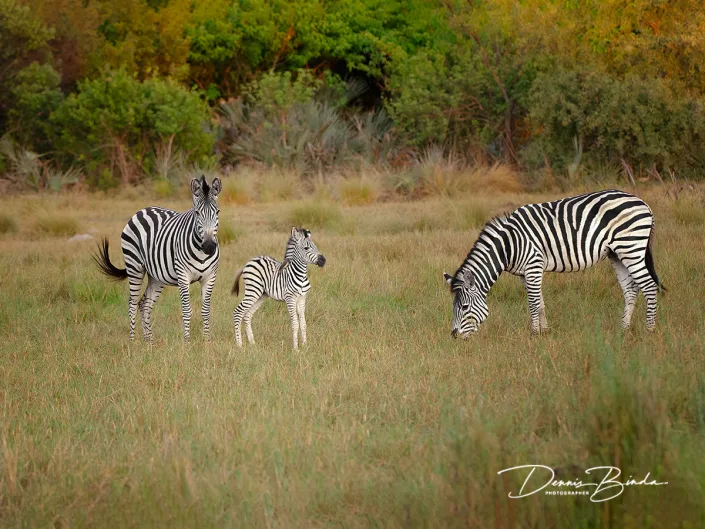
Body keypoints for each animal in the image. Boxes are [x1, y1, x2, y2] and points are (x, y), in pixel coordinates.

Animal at [94, 175, 221, 342]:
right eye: (197, 213)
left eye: (217, 212)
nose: (209, 247)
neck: (201, 252)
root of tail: (142, 210)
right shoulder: (183, 277)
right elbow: (187, 310)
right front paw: (187, 342)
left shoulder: (210, 277)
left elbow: (205, 311)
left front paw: (207, 342)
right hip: (134, 266)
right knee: (132, 303)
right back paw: (132, 341)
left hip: (156, 276)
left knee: (144, 304)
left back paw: (149, 342)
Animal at [443, 189, 665, 337]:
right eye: (453, 306)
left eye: (464, 307)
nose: (454, 336)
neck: (509, 245)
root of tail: (643, 203)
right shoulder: (526, 273)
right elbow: (540, 302)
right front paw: (545, 331)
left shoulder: (533, 265)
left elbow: (533, 303)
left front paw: (533, 334)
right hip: (617, 254)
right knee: (631, 290)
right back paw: (623, 330)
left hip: (631, 247)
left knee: (649, 286)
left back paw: (650, 330)